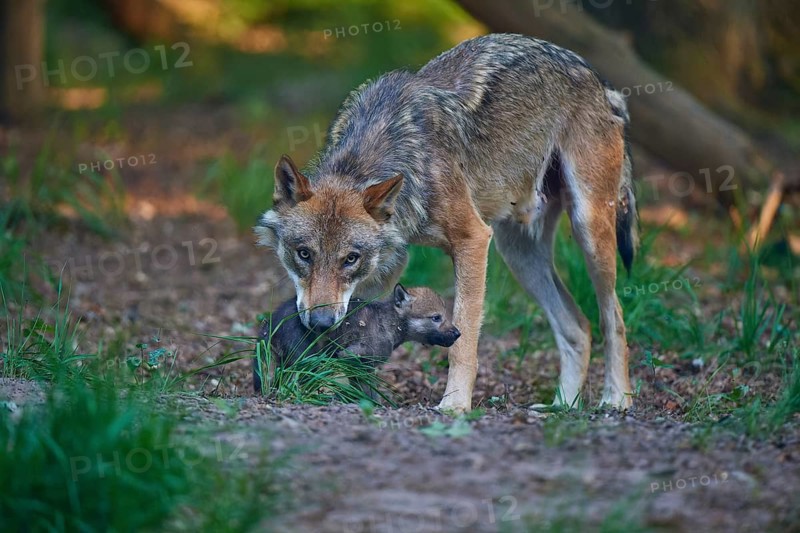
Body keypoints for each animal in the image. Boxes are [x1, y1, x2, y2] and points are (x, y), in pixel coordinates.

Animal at [253, 284, 461, 393]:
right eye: (436, 317)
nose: (458, 333)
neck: (389, 323)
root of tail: (271, 322)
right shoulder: (353, 358)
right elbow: (369, 392)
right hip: (306, 358)